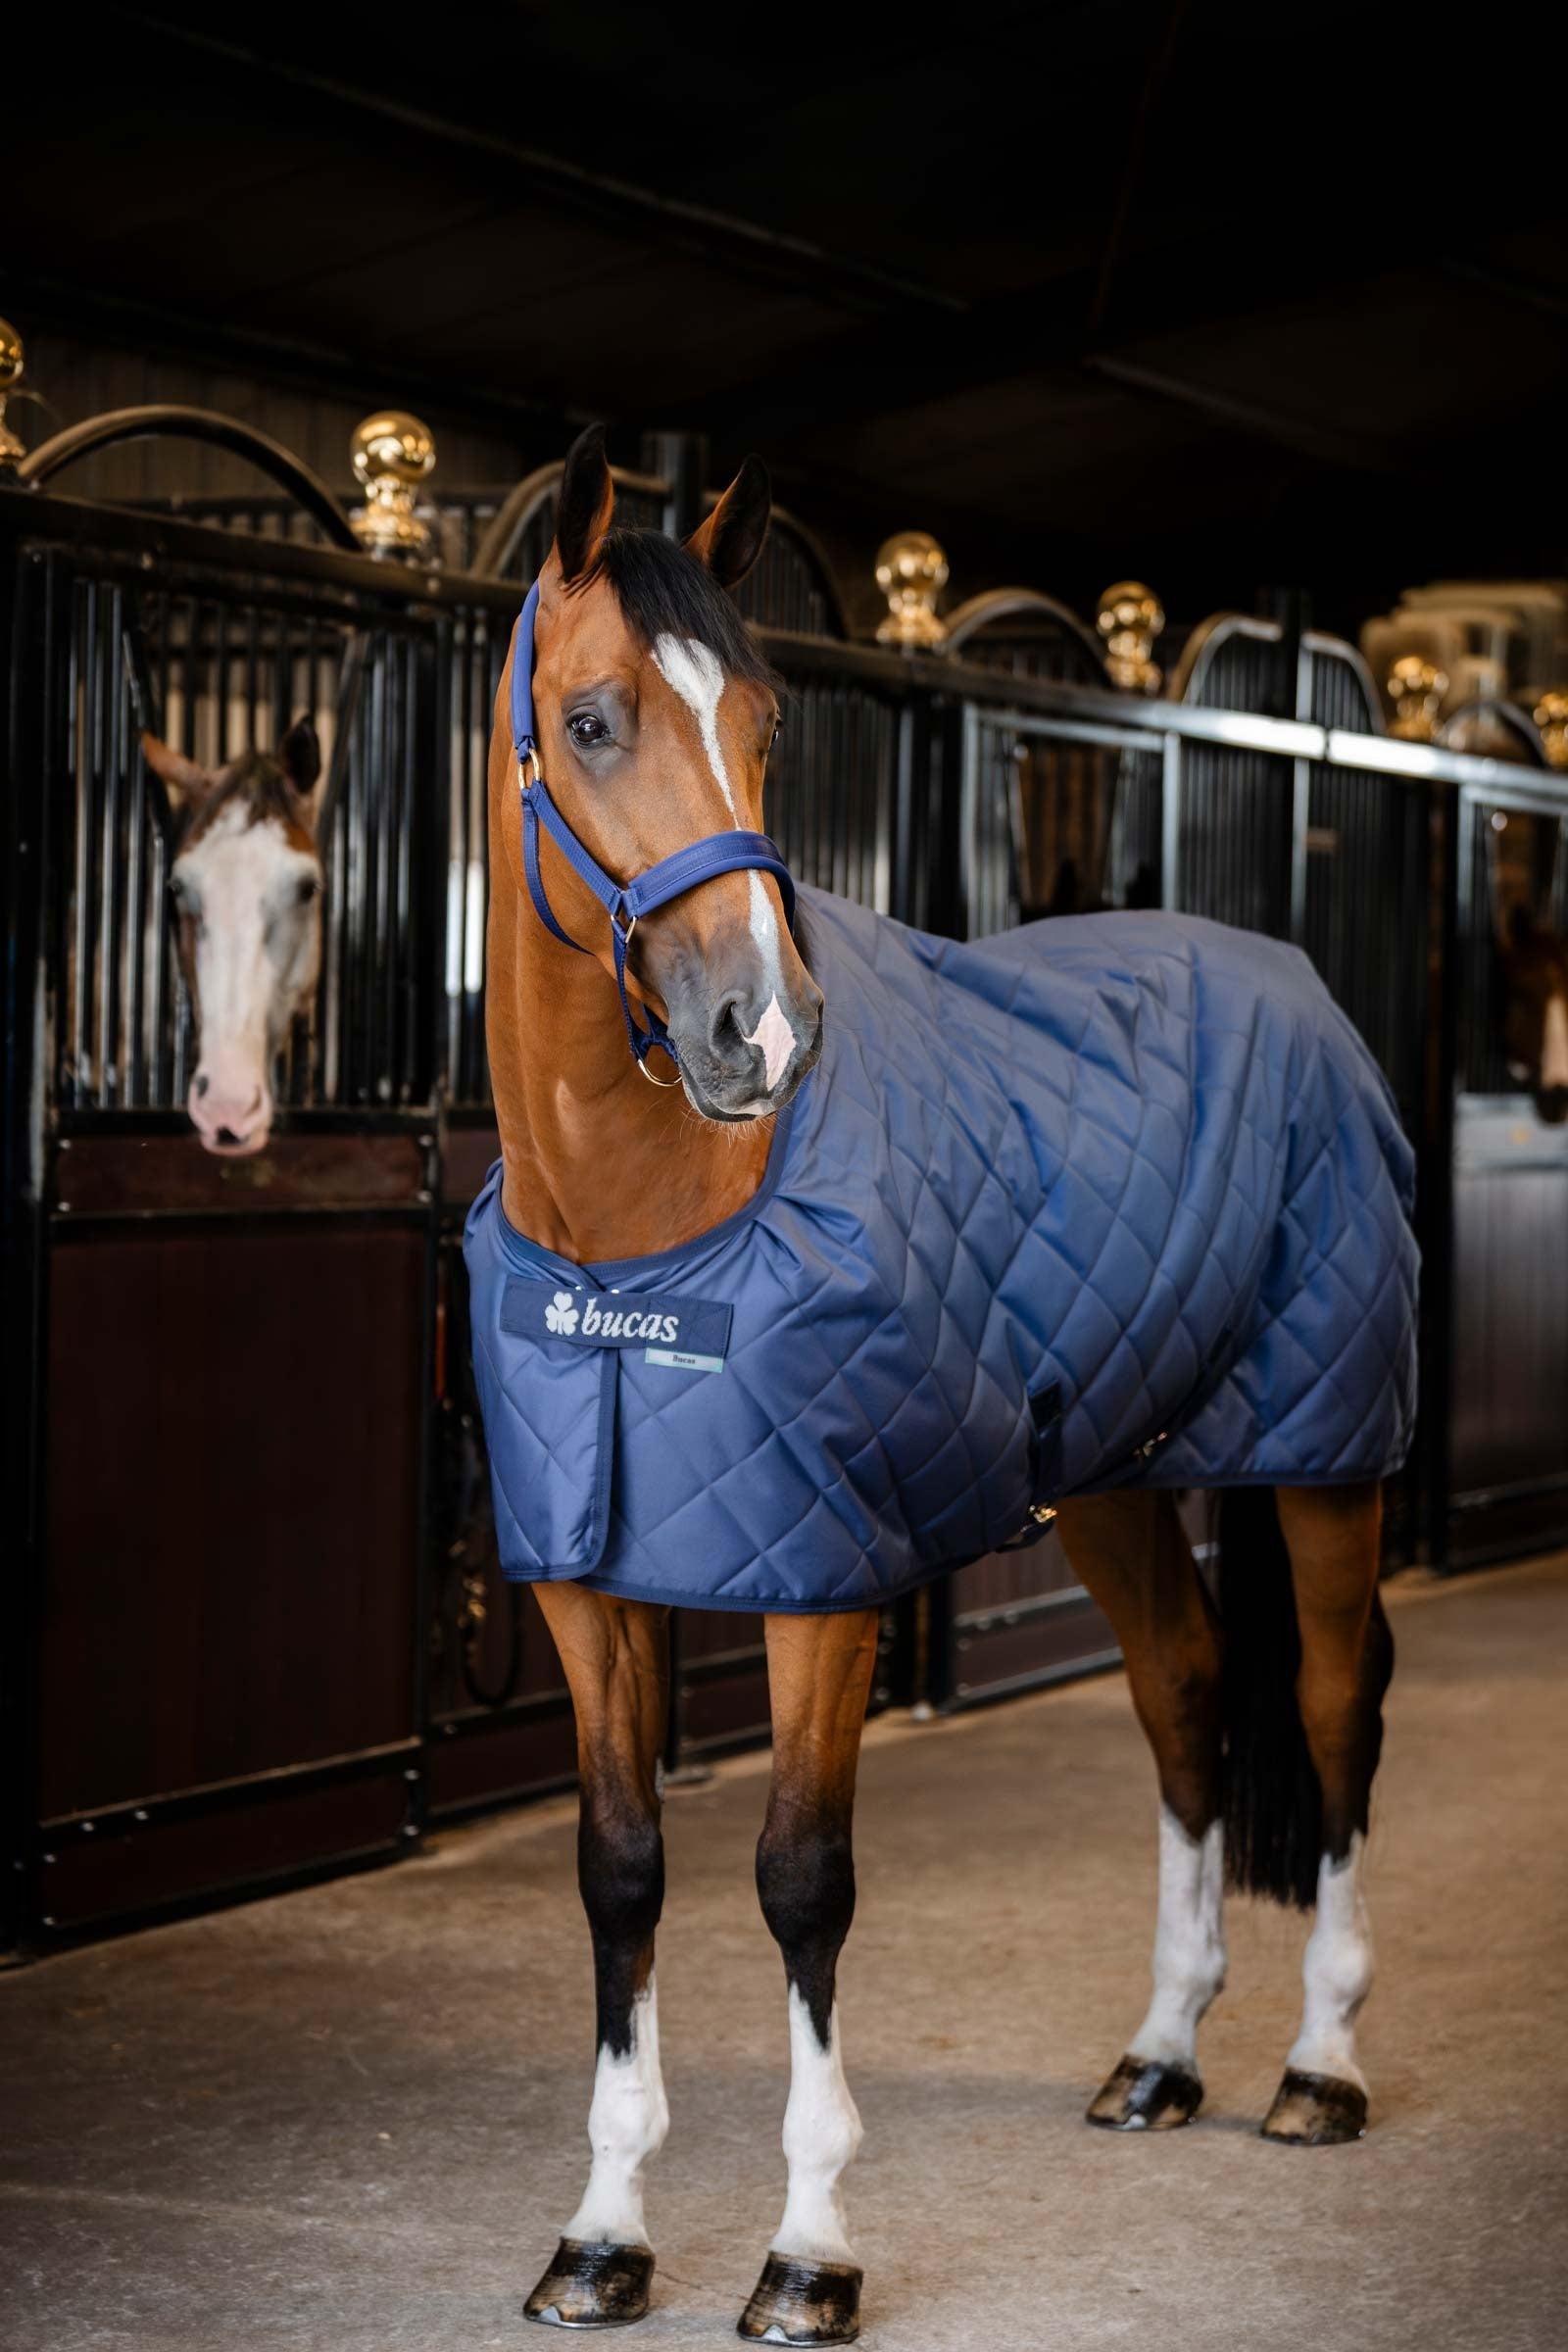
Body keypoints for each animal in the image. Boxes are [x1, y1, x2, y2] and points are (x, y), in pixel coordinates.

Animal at [472, 425, 1414, 2343]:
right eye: (592, 721)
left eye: (768, 721)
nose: (760, 1031)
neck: (640, 1240)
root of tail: (1294, 982)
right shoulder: (588, 1586)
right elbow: (620, 1869)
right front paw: (601, 2233)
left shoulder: (821, 1580)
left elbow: (799, 1880)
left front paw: (809, 2249)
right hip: (1120, 1477)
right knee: (1185, 1695)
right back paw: (1158, 2056)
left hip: (1324, 1454)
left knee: (1335, 1704)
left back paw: (1319, 2067)